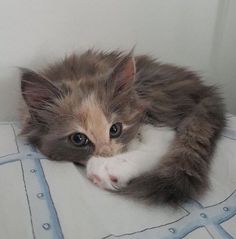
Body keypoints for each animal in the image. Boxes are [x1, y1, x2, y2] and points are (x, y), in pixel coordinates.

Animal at [19, 49, 225, 204]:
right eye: (78, 139)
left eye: (115, 129)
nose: (107, 155)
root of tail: (204, 89)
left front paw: (108, 164)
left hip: (150, 94)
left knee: (165, 138)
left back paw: (111, 167)